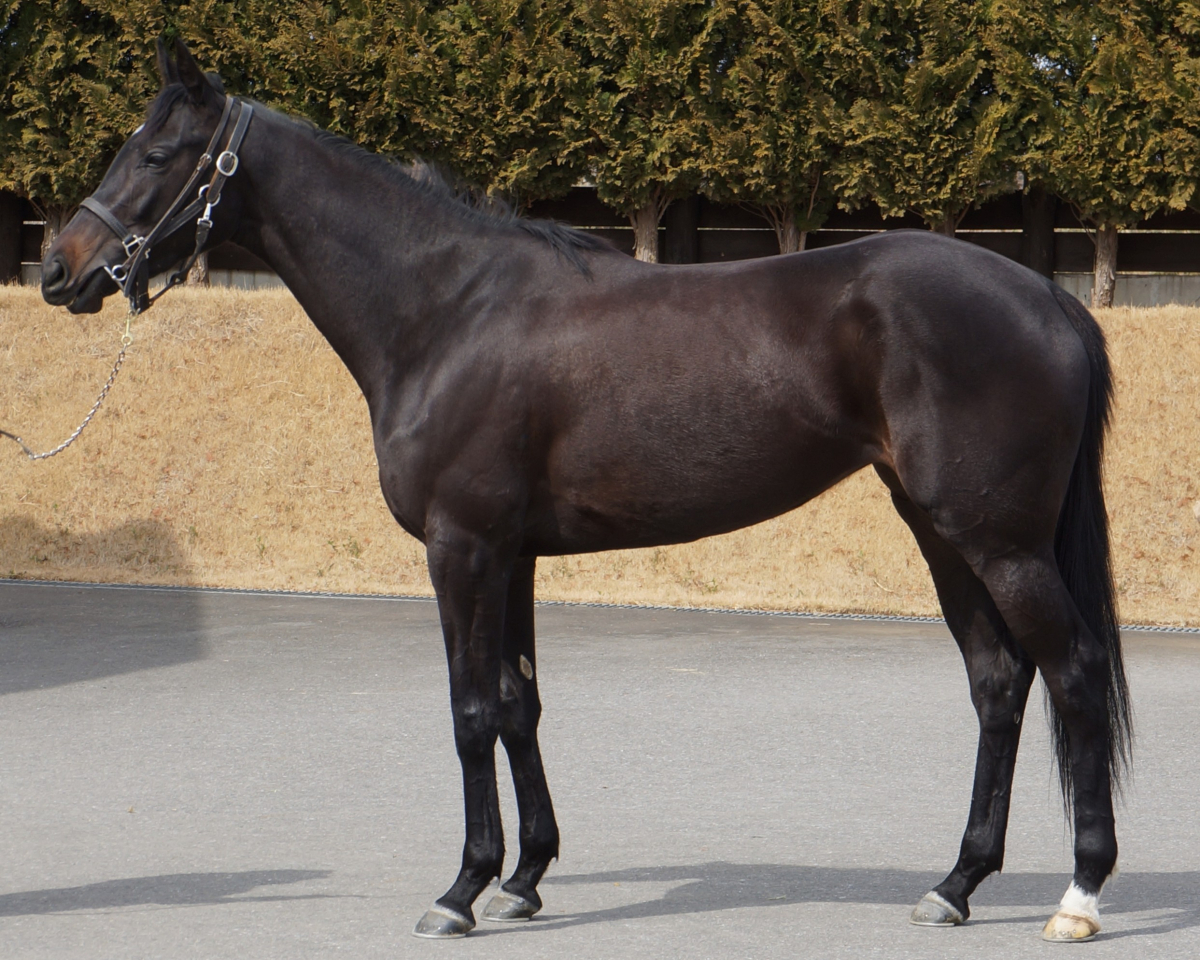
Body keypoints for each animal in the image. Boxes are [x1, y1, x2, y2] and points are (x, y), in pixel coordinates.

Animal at [41, 40, 1130, 943]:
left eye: (156, 153)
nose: (60, 269)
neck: (446, 311)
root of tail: (1048, 298)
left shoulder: (462, 547)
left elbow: (469, 710)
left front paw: (461, 890)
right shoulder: (512, 553)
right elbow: (519, 703)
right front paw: (524, 879)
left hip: (999, 543)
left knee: (1071, 674)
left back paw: (1078, 897)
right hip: (942, 532)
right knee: (999, 682)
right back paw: (956, 884)